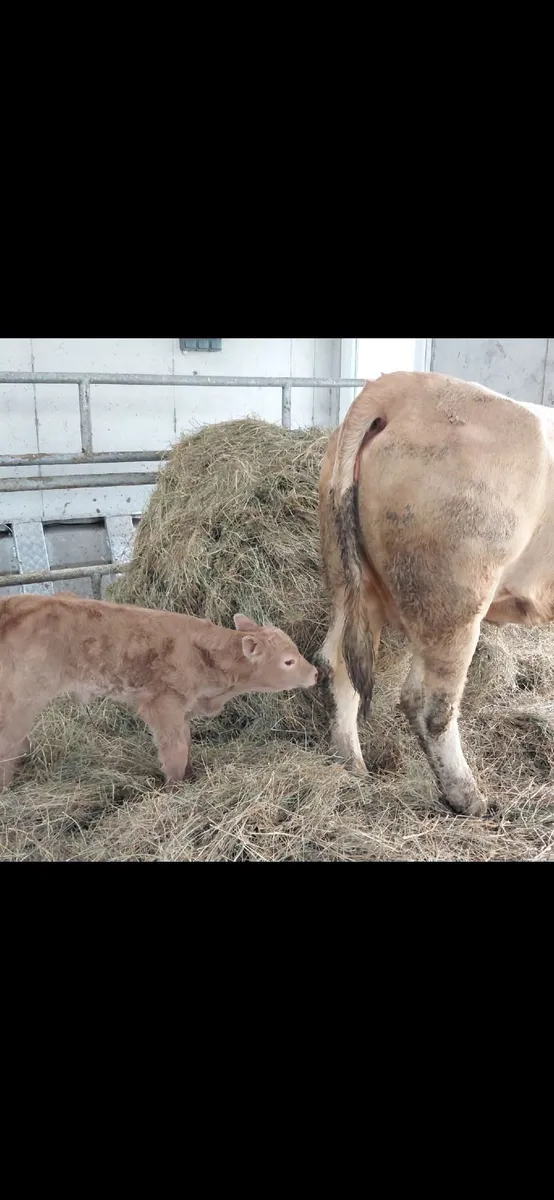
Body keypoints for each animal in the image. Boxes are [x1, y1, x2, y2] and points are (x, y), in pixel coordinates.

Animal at [0, 594, 318, 790]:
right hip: (21, 698)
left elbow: (186, 742)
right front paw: (175, 786)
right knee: (8, 743)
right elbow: (175, 748)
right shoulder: (162, 704)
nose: (316, 673)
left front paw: (191, 776)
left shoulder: (182, 709)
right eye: (288, 662)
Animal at [318, 370, 554, 816]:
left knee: (338, 664)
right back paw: (468, 797)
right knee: (430, 706)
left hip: (353, 582)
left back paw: (352, 765)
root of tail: (404, 387)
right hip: (456, 601)